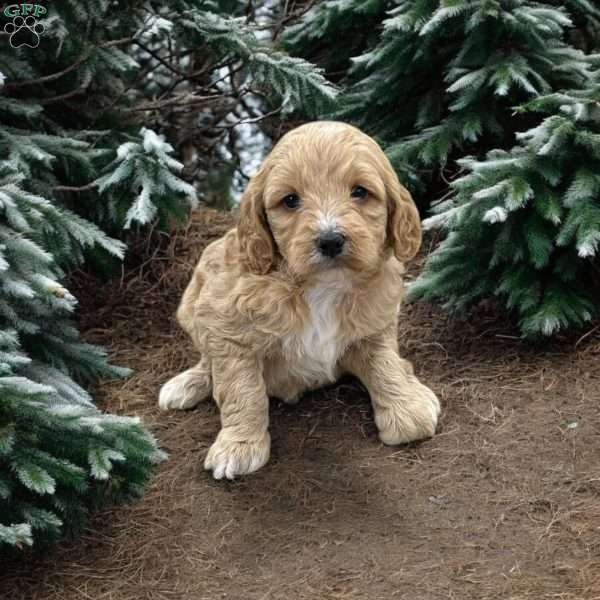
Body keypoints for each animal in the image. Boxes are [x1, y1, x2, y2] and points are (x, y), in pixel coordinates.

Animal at [159, 120, 440, 478]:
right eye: (290, 200)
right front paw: (239, 445)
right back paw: (188, 383)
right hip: (192, 306)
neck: (319, 287)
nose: (330, 240)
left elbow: (385, 363)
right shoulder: (225, 328)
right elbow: (242, 388)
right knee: (208, 362)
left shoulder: (374, 327)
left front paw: (406, 411)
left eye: (360, 192)